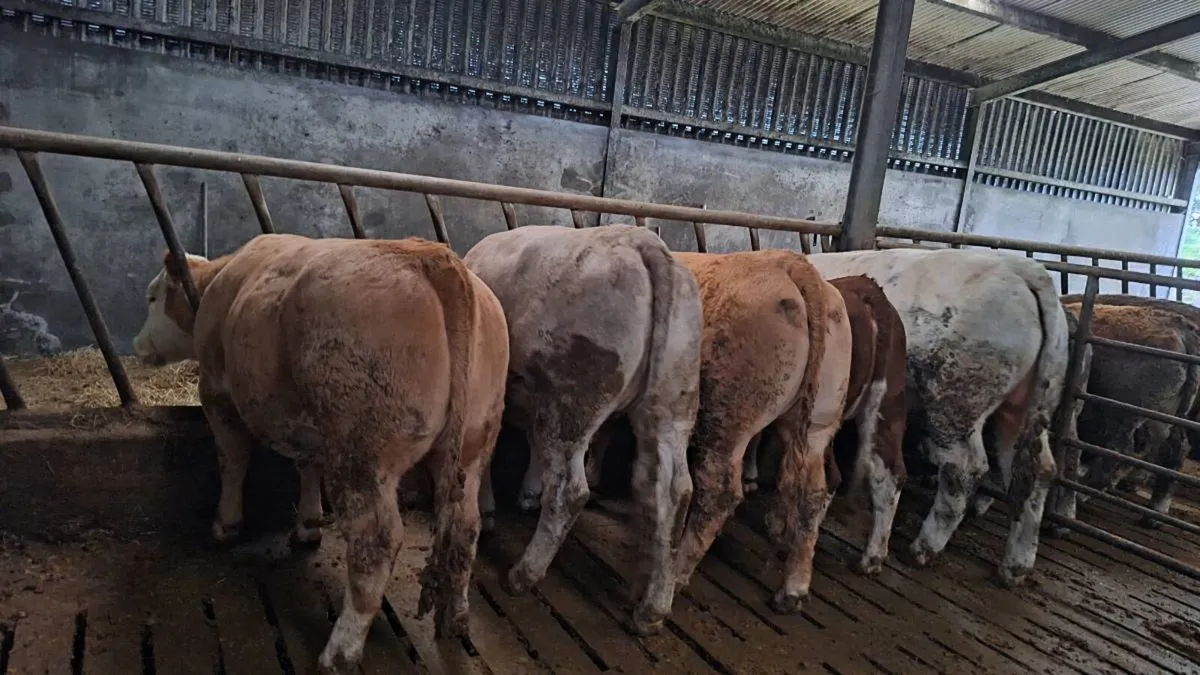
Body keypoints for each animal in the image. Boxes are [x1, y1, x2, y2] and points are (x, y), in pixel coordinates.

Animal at [130, 234, 509, 672]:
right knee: (465, 526)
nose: (137, 345)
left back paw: (340, 650)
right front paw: (308, 524)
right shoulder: (307, 422)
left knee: (375, 539)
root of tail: (432, 256)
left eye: (152, 296)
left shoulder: (216, 392)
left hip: (362, 450)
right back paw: (455, 618)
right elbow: (306, 464)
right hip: (473, 442)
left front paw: (226, 524)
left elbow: (233, 460)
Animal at [465, 224, 702, 636]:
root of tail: (645, 243)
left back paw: (523, 575)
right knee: (674, 492)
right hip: (673, 401)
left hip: (573, 397)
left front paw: (490, 506)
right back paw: (652, 607)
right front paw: (527, 493)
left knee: (570, 491)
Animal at [742, 274, 908, 576]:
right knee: (889, 473)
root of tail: (870, 294)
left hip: (820, 416)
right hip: (888, 403)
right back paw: (872, 557)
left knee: (829, 477)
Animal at [807, 248, 1069, 587]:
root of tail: (1020, 268)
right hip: (1024, 408)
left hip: (954, 402)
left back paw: (923, 548)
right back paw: (1016, 566)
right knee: (1036, 470)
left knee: (965, 468)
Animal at [1060, 301, 1200, 527]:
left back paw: (1086, 493)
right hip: (1166, 417)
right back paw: (1154, 513)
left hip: (1124, 416)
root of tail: (1180, 329)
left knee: (1121, 451)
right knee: (1173, 450)